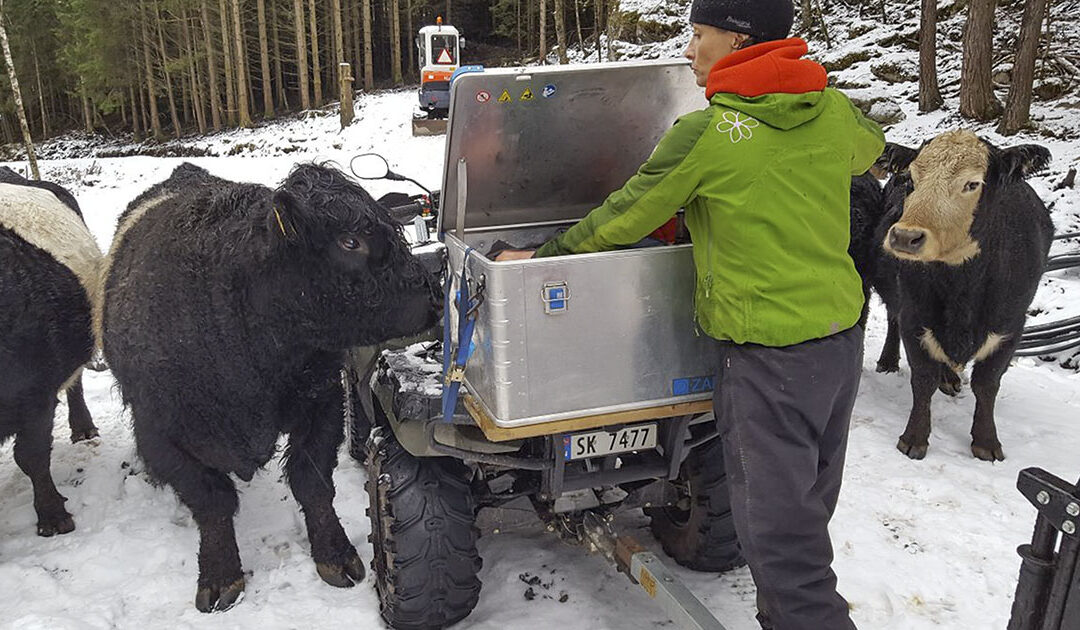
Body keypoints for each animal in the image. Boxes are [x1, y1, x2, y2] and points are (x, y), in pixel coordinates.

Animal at [100, 161, 438, 609]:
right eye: (350, 242)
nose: (435, 294)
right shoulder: (159, 433)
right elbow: (211, 501)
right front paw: (220, 576)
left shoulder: (322, 403)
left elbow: (311, 482)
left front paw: (335, 554)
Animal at [868, 129, 1054, 462]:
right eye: (911, 180)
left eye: (972, 184)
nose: (904, 237)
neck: (963, 290)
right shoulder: (915, 316)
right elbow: (923, 378)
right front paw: (914, 439)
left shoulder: (1010, 326)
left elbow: (987, 383)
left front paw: (986, 442)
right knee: (892, 318)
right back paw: (889, 362)